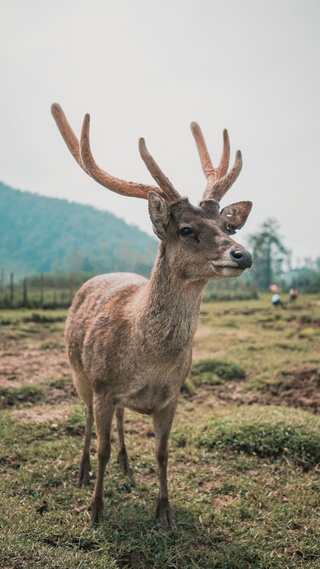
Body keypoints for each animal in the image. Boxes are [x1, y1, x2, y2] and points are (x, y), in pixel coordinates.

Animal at [51, 103, 254, 528]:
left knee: (120, 421)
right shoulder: (102, 385)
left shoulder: (172, 396)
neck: (148, 363)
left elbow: (162, 454)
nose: (242, 254)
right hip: (79, 374)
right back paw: (82, 474)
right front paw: (95, 511)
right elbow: (101, 448)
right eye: (186, 229)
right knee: (87, 422)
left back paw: (127, 467)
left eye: (228, 227)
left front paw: (165, 514)